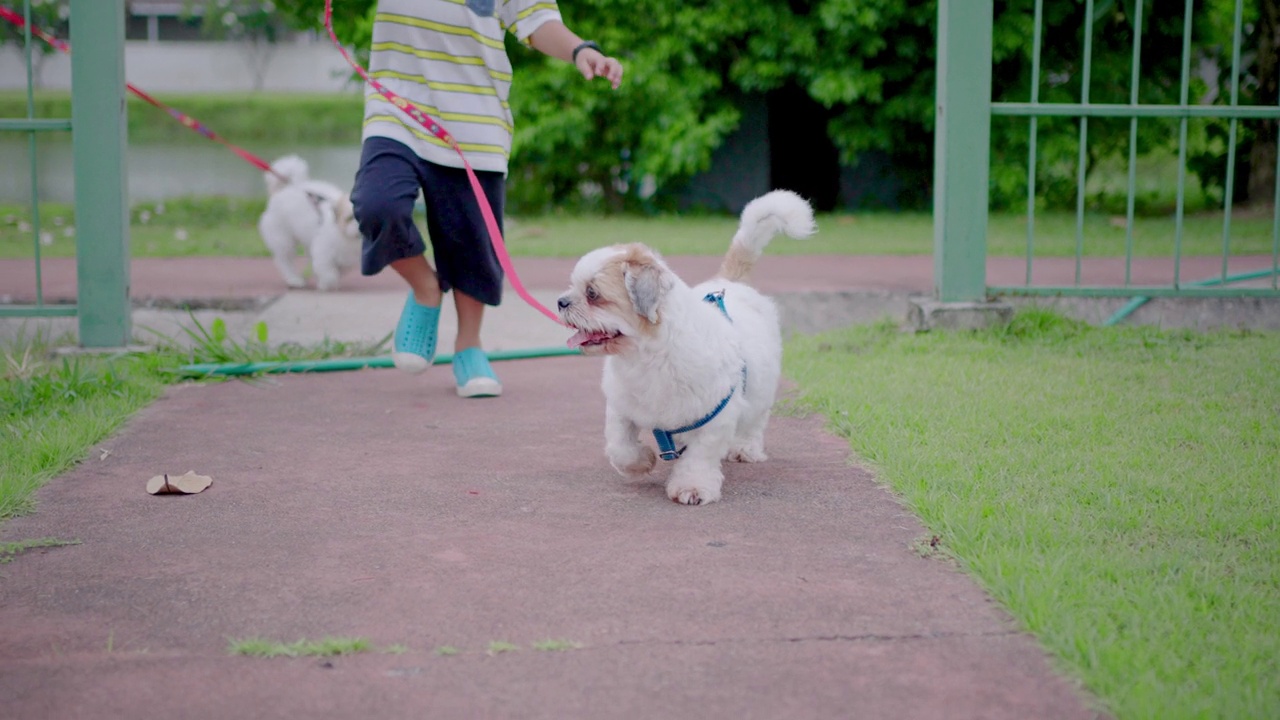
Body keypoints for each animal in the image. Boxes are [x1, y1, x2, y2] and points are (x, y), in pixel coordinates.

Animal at [256, 155, 360, 289]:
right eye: (350, 217)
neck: (345, 236)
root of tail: (285, 189)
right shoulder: (323, 252)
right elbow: (329, 273)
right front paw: (325, 284)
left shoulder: (346, 260)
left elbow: (340, 270)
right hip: (283, 238)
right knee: (285, 260)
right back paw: (294, 279)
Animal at [560, 190, 819, 504]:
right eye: (574, 287)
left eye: (592, 293)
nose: (561, 302)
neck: (646, 356)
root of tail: (730, 283)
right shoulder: (622, 407)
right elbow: (621, 445)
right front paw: (640, 463)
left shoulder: (714, 417)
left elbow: (700, 457)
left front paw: (692, 487)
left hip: (760, 392)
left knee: (754, 422)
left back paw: (746, 448)